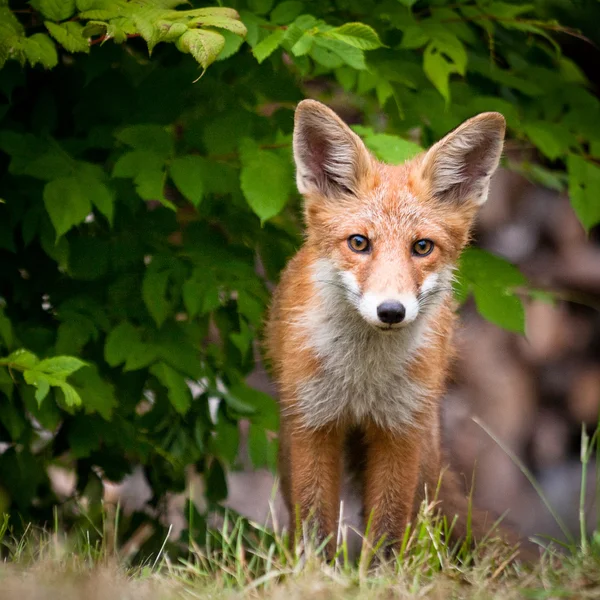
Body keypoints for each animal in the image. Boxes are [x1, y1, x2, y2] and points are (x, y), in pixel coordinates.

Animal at [268, 99, 536, 564]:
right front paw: (315, 572)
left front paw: (378, 575)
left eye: (422, 247)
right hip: (290, 440)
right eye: (359, 243)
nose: (391, 311)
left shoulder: (400, 429)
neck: (362, 378)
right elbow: (315, 522)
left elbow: (389, 528)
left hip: (424, 449)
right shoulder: (313, 422)